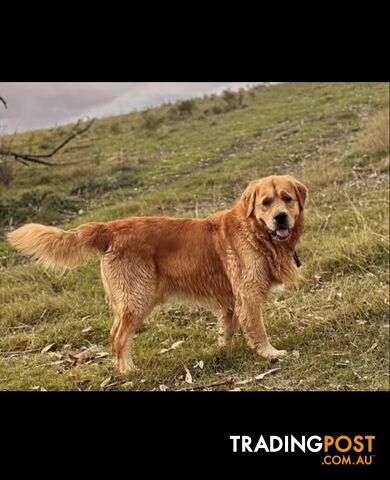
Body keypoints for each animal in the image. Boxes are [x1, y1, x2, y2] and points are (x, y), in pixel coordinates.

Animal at [7, 174, 308, 374]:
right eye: (266, 203)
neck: (256, 233)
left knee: (113, 334)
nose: (280, 217)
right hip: (138, 299)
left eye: (287, 199)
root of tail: (110, 228)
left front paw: (225, 350)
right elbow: (258, 330)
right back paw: (128, 372)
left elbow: (227, 329)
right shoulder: (249, 295)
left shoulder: (231, 301)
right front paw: (270, 354)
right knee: (119, 338)